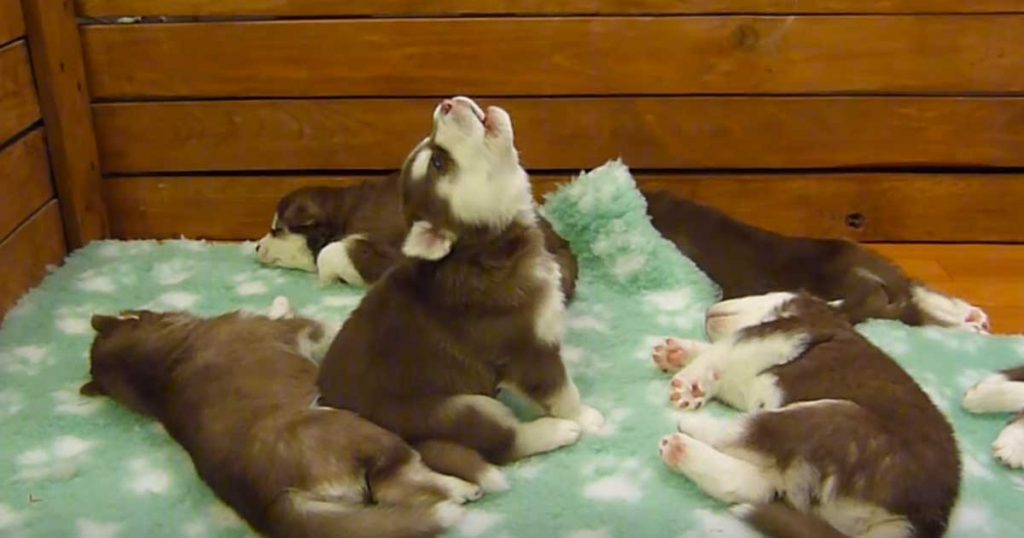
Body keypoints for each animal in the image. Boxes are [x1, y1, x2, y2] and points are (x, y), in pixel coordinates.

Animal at [81, 297, 477, 536]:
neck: (161, 367)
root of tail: (269, 502)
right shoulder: (294, 328)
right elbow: (306, 318)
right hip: (363, 431)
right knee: (397, 481)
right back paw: (462, 490)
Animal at [317, 95, 606, 485]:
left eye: (431, 144)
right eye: (438, 163)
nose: (447, 103)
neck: (488, 249)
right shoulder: (527, 351)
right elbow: (562, 392)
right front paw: (585, 417)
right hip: (463, 409)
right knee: (504, 441)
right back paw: (557, 431)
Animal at [655, 291, 958, 536]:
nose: (710, 308)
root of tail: (925, 518)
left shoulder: (782, 332)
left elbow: (721, 350)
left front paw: (689, 384)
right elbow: (714, 357)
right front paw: (676, 352)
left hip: (832, 419)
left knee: (747, 432)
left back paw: (691, 428)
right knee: (756, 485)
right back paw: (681, 451)